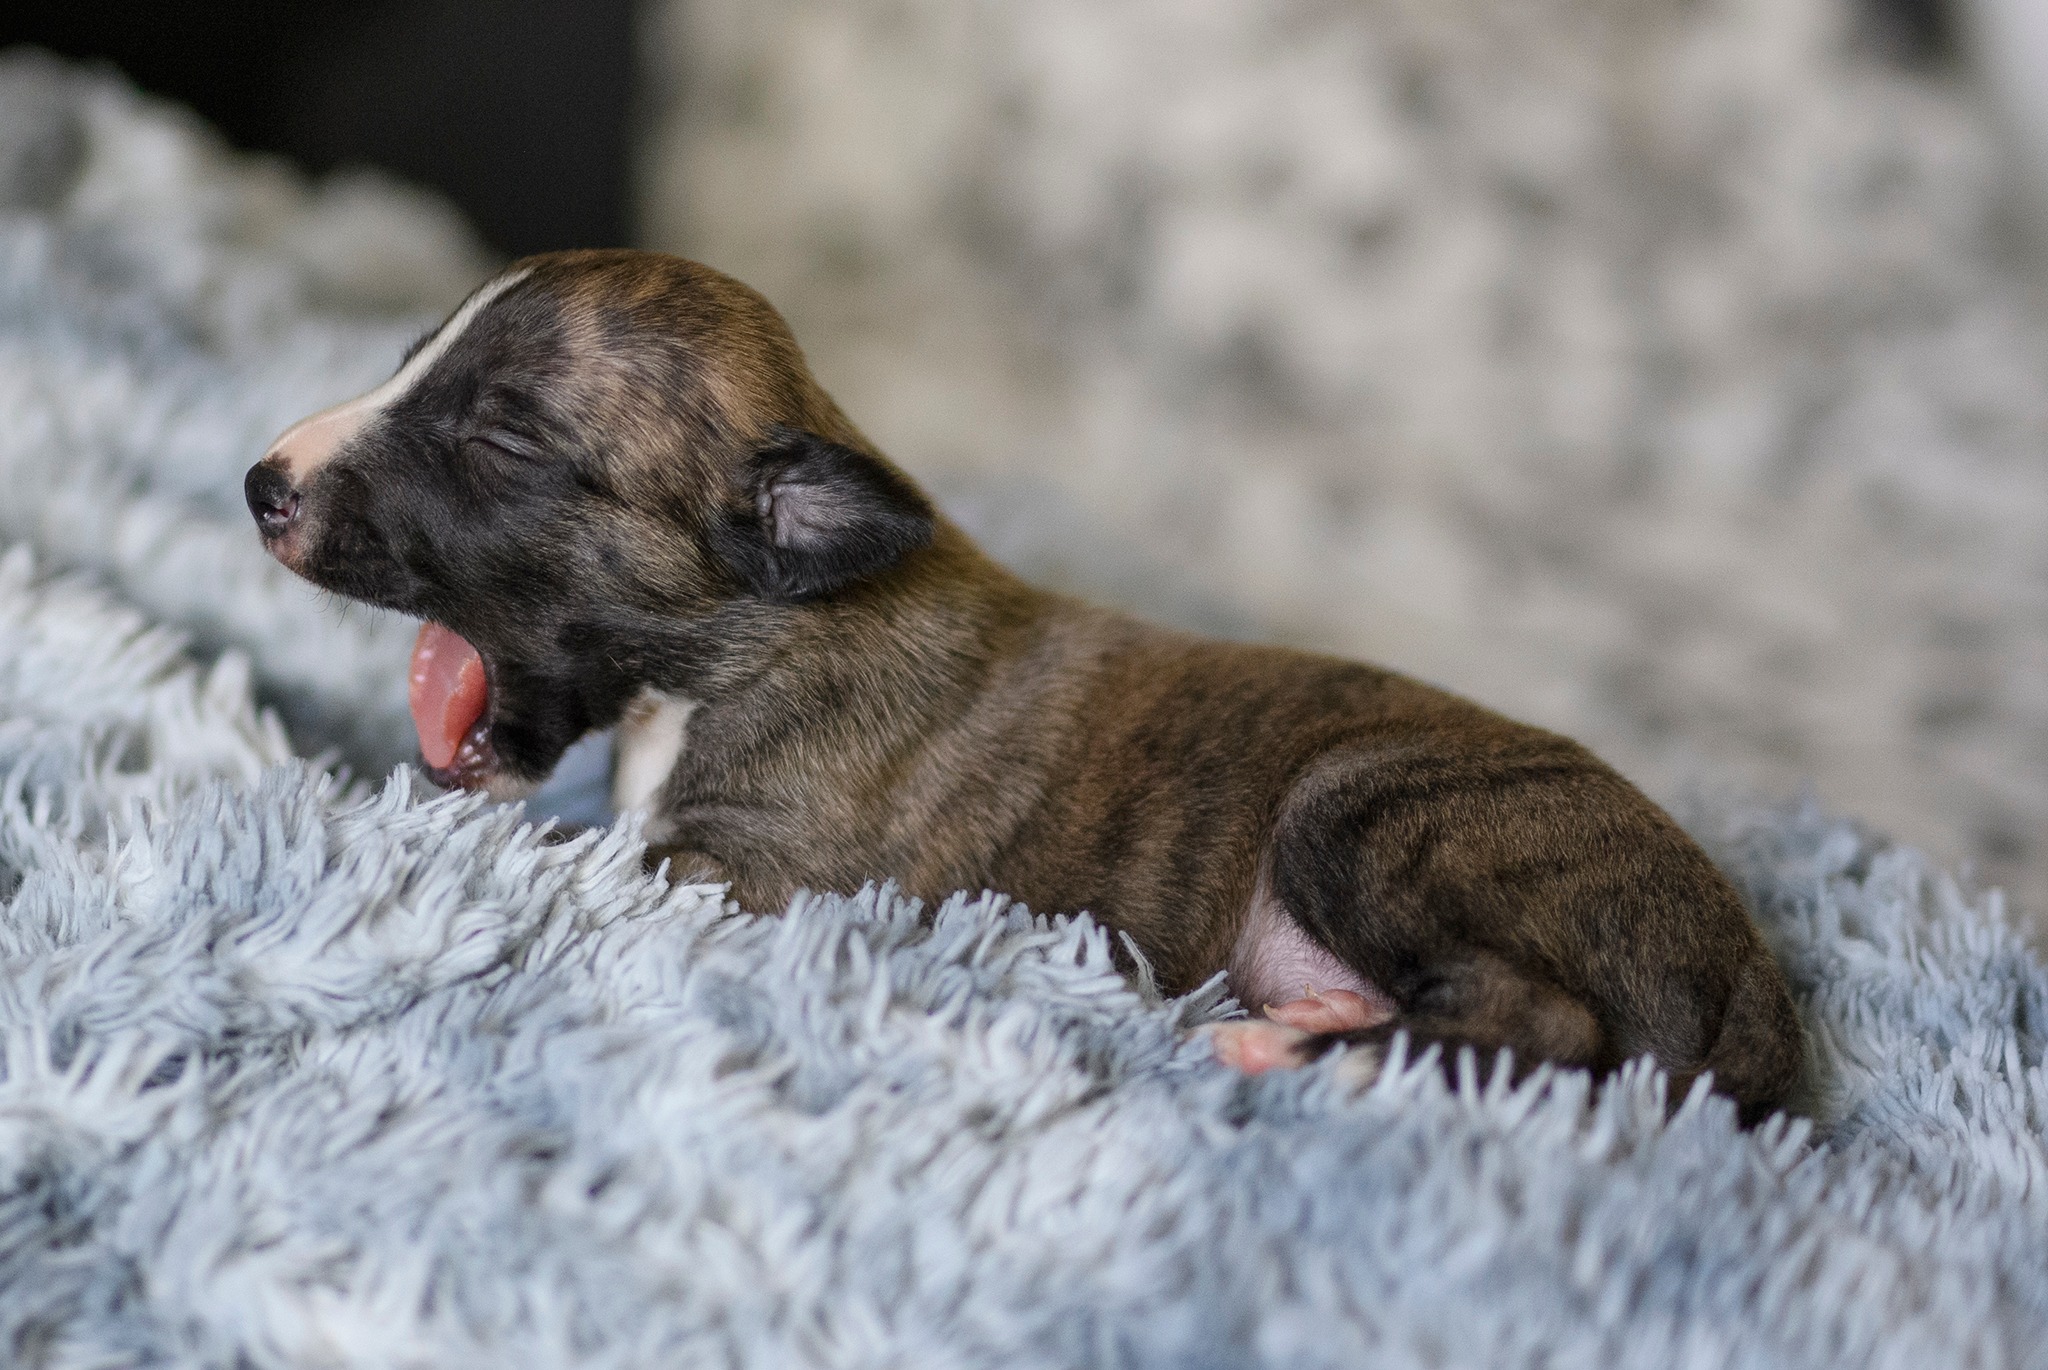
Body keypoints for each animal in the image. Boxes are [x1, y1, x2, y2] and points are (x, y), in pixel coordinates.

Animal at [246, 249, 1803, 1119]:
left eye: (500, 437)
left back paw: (1304, 1053)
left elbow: (599, 865)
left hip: (1370, 809)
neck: (758, 634)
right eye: (410, 363)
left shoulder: (745, 876)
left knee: (1556, 1028)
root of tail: (1755, 982)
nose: (261, 483)